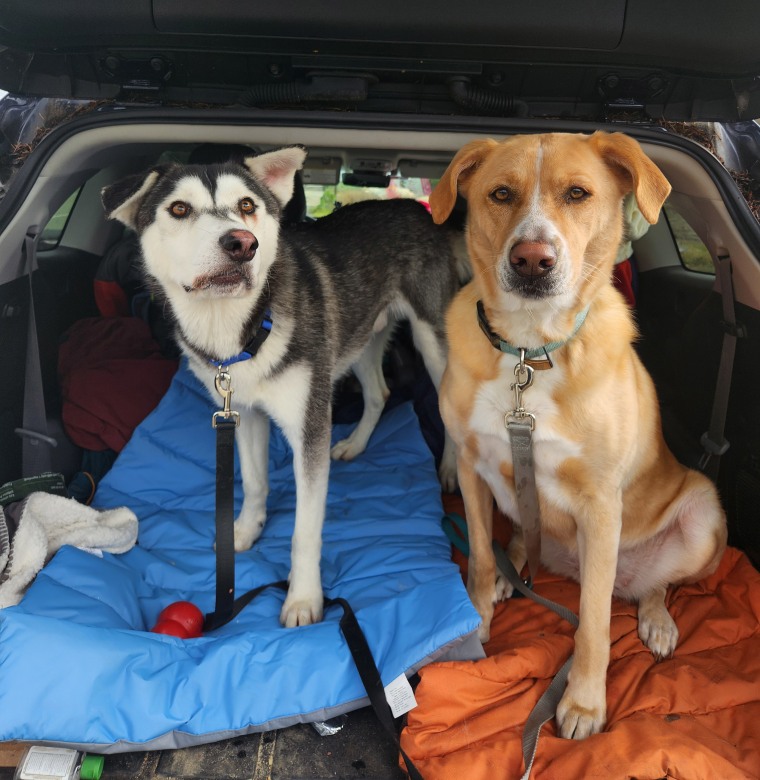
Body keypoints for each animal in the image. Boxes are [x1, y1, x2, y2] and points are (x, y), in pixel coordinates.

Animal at [100, 148, 458, 628]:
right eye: (178, 209)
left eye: (247, 205)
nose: (241, 243)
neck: (238, 330)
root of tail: (414, 207)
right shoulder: (243, 412)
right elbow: (254, 482)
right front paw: (244, 531)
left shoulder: (309, 425)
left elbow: (305, 531)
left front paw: (303, 598)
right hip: (361, 334)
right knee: (379, 393)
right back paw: (356, 444)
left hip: (431, 340)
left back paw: (452, 467)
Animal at [430, 131, 728, 740]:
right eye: (500, 193)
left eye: (577, 193)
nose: (531, 260)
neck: (528, 351)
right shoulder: (470, 467)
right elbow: (479, 556)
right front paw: (480, 610)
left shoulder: (600, 502)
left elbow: (592, 621)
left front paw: (585, 702)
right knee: (523, 543)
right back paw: (517, 565)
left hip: (704, 515)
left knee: (654, 585)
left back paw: (656, 619)